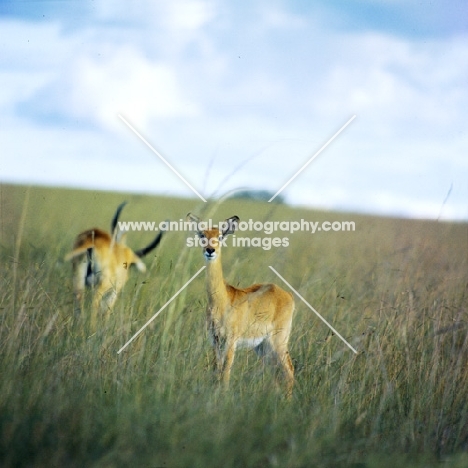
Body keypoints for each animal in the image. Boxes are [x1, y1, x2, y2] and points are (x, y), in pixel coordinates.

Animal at [187, 214, 294, 396]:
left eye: (220, 236)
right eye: (202, 235)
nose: (210, 250)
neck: (222, 301)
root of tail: (288, 295)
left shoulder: (231, 341)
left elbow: (225, 375)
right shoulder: (215, 341)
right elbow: (217, 372)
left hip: (278, 341)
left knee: (289, 371)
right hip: (262, 347)